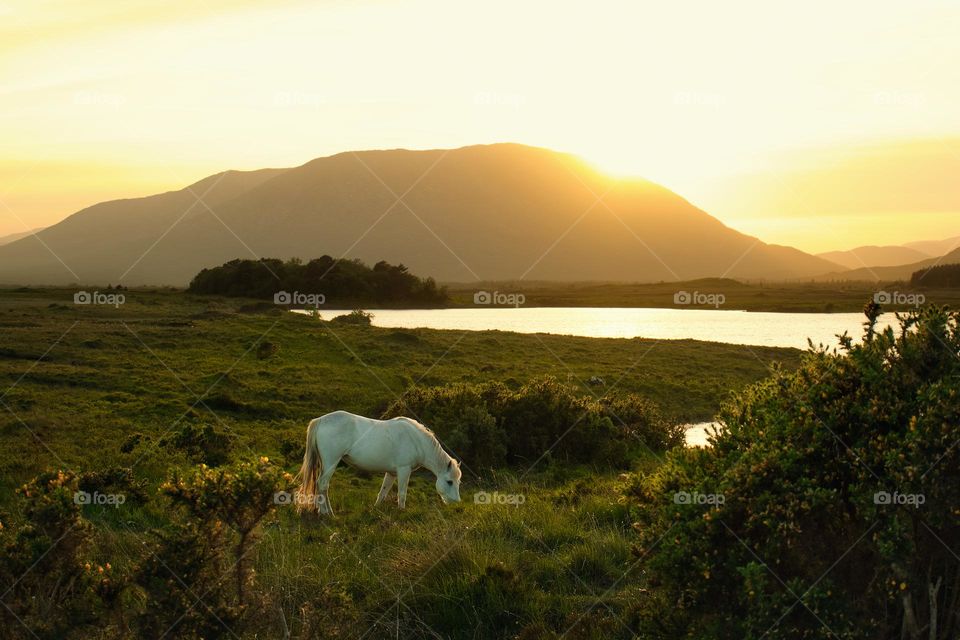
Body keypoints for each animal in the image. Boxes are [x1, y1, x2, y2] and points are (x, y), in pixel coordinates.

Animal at [296, 410, 462, 516]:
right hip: (331, 462)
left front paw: (375, 510)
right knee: (323, 484)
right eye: (449, 482)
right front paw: (401, 511)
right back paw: (327, 513)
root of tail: (321, 420)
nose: (456, 504)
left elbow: (383, 492)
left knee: (319, 485)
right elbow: (402, 493)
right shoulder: (404, 470)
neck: (416, 440)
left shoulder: (392, 473)